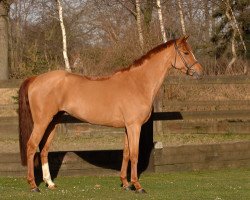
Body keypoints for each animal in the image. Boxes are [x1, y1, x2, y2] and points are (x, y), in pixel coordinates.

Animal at [19, 36, 203, 193]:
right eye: (186, 52)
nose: (200, 72)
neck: (138, 83)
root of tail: (35, 79)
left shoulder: (128, 127)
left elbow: (126, 153)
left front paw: (125, 184)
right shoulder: (135, 126)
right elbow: (134, 154)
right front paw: (137, 186)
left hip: (53, 122)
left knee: (44, 149)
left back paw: (50, 183)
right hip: (42, 122)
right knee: (31, 146)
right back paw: (33, 185)